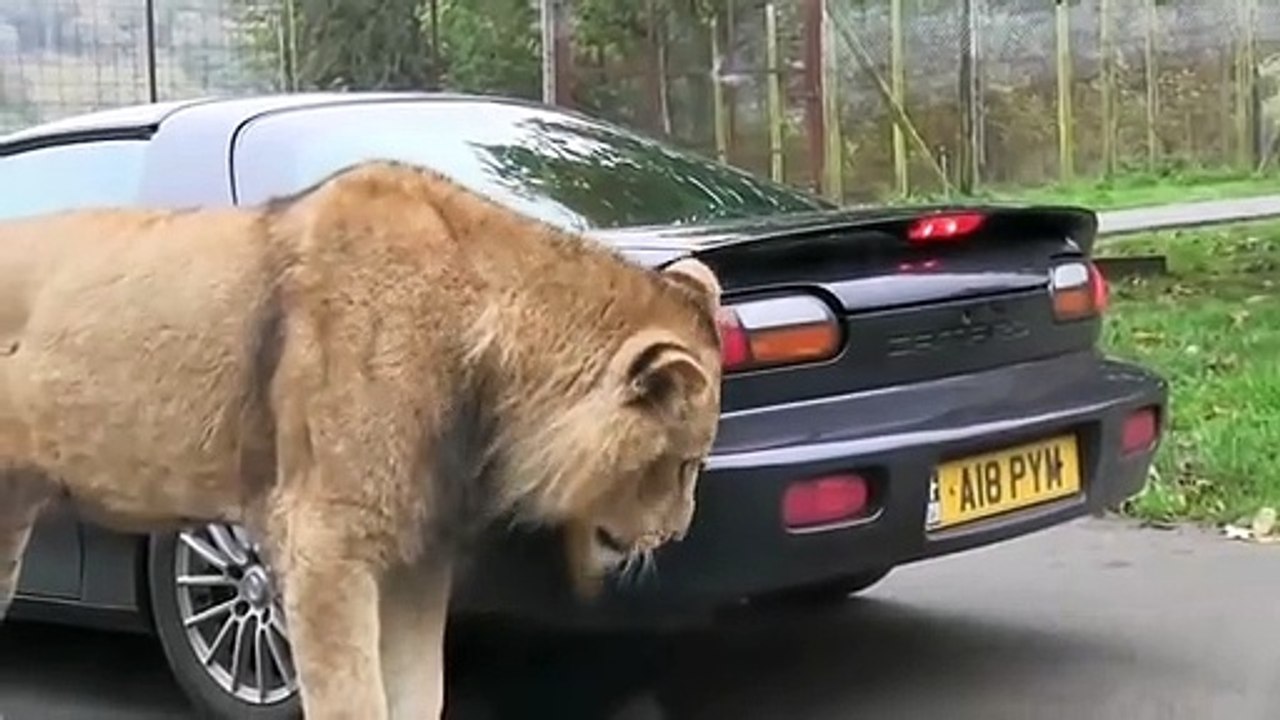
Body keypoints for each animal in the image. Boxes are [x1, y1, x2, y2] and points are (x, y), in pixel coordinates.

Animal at [0, 160, 724, 719]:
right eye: (686, 463)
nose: (677, 534)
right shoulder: (325, 546)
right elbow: (353, 700)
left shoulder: (416, 559)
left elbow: (421, 694)